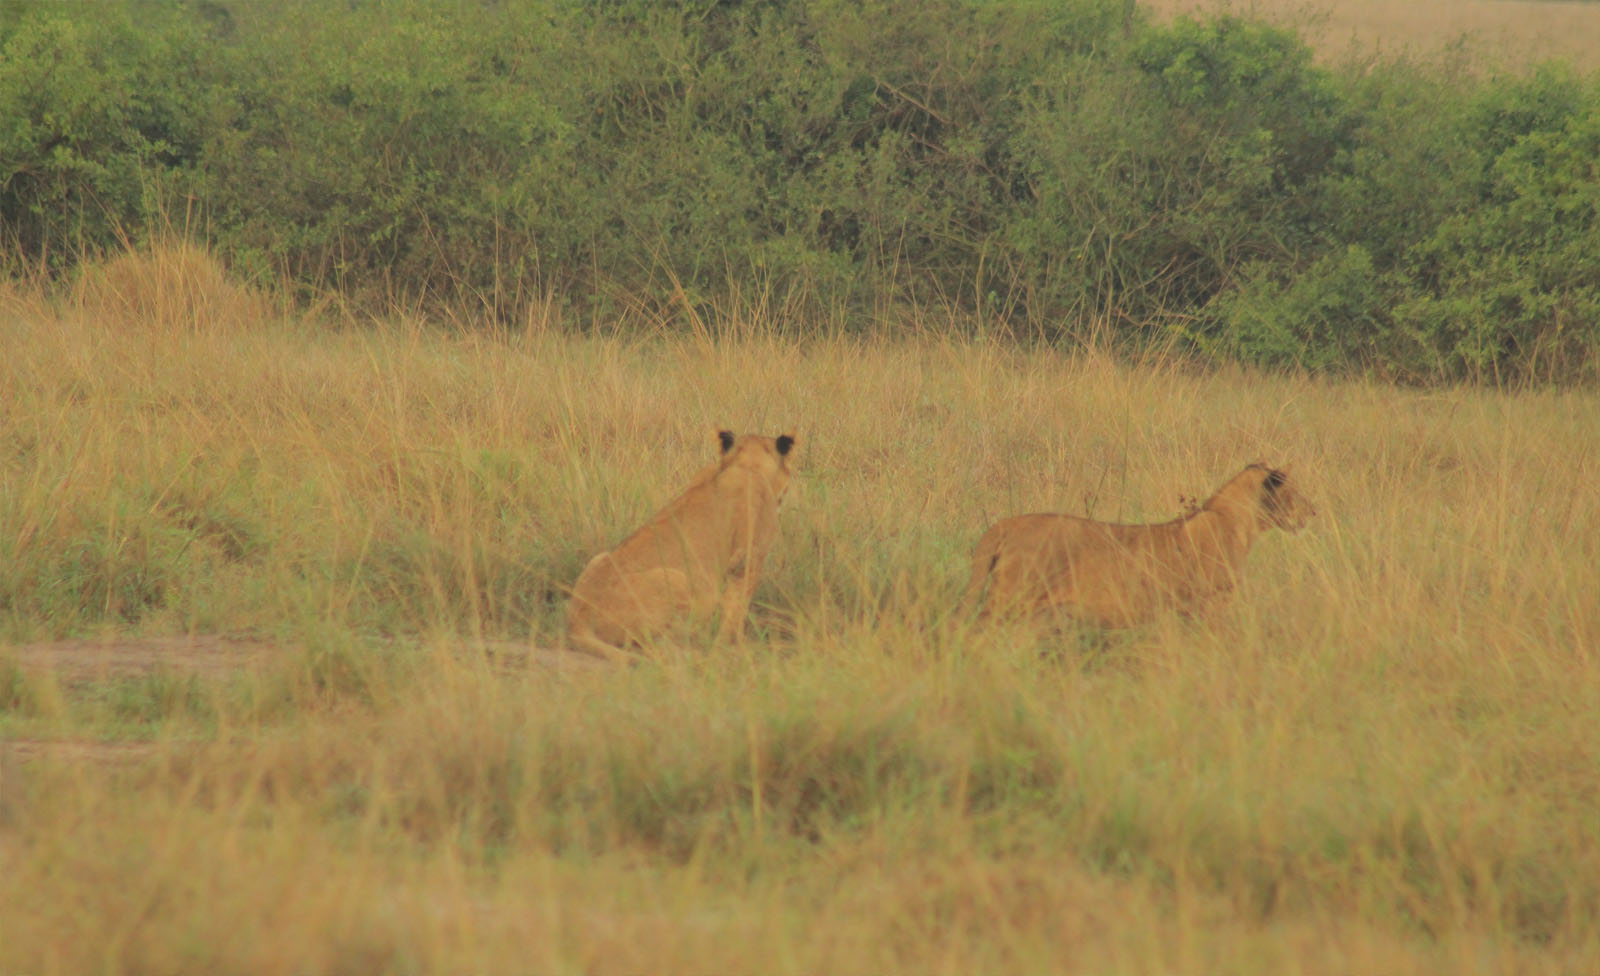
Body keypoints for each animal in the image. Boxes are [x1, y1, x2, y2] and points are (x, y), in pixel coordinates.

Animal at [566, 429, 797, 661]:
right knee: (652, 647)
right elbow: (736, 610)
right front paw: (738, 648)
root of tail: (577, 623)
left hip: (598, 559)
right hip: (680, 581)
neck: (747, 464)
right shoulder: (748, 558)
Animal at [961, 464, 1315, 629]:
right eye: (1293, 493)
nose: (1314, 511)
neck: (1238, 523)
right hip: (1008, 603)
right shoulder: (1209, 607)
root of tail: (1005, 524)